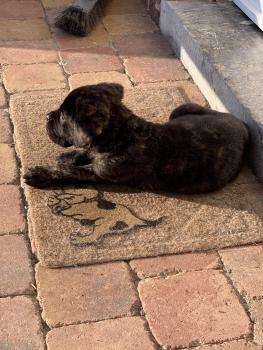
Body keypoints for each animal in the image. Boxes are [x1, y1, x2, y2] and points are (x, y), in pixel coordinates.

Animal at [23, 82, 251, 194]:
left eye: (63, 116)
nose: (46, 116)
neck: (120, 133)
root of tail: (241, 123)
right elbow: (84, 151)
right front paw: (69, 156)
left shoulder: (102, 172)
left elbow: (71, 171)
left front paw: (40, 174)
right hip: (180, 109)